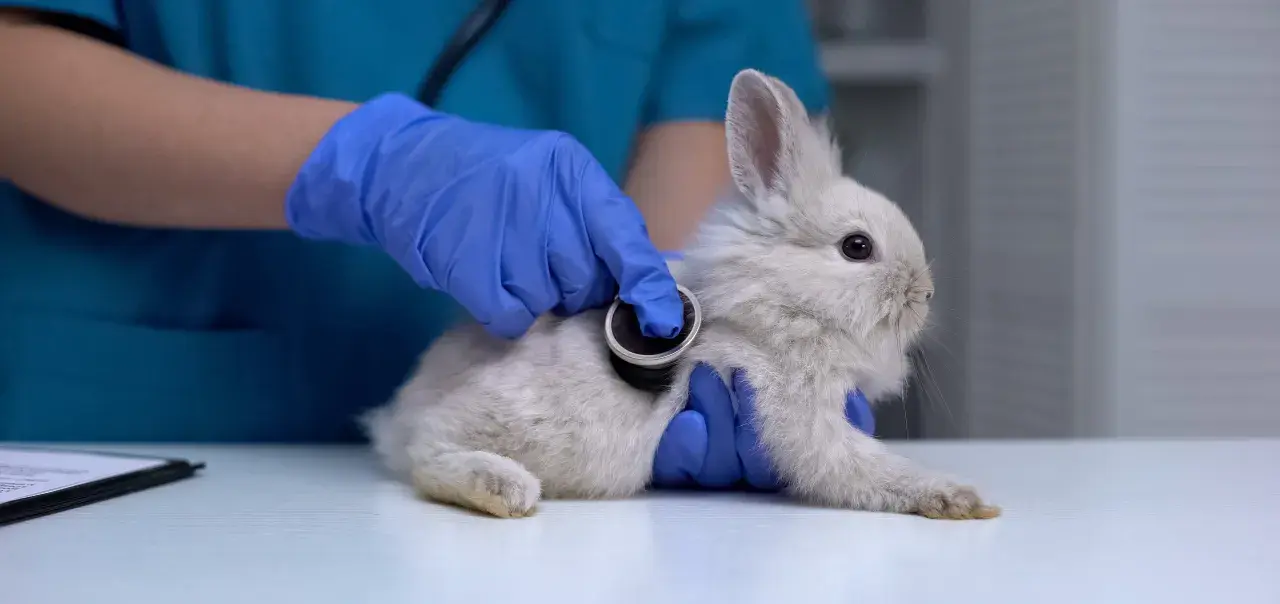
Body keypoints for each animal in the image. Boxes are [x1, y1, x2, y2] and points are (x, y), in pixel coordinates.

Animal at [362, 68, 1000, 521]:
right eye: (857, 248)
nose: (925, 294)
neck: (781, 307)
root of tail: (400, 415)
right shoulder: (796, 412)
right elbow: (863, 467)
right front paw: (960, 499)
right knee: (428, 457)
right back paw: (505, 490)